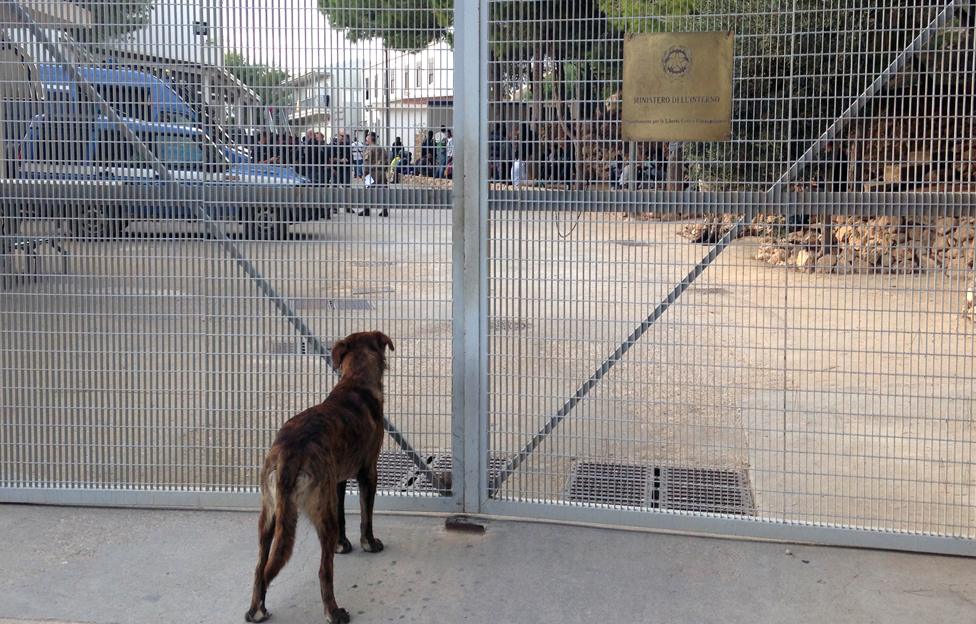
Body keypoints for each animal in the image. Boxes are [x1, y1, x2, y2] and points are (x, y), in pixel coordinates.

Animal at [246, 330, 394, 620]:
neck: (355, 380)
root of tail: (289, 453)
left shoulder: (337, 481)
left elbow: (344, 516)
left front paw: (343, 544)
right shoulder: (368, 472)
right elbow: (366, 516)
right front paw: (369, 543)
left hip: (269, 515)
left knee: (260, 567)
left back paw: (258, 609)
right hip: (321, 513)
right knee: (324, 570)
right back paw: (334, 612)